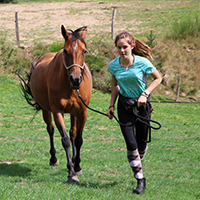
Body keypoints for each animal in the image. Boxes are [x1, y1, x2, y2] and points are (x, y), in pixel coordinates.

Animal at [19, 25, 92, 183]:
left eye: (84, 51)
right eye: (65, 51)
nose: (75, 79)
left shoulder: (82, 112)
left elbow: (78, 139)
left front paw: (77, 167)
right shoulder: (57, 111)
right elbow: (65, 140)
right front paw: (71, 173)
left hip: (73, 113)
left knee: (73, 133)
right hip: (46, 111)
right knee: (51, 130)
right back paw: (54, 159)